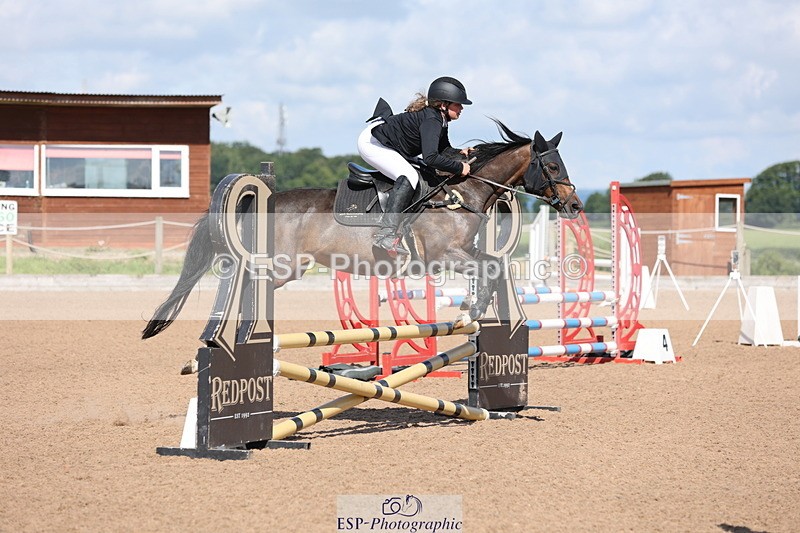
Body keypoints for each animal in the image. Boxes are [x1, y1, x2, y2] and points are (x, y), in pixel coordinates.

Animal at [141, 119, 583, 340]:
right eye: (552, 166)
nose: (575, 205)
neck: (460, 193)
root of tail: (268, 197)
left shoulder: (464, 252)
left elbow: (491, 264)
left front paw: (470, 312)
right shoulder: (441, 255)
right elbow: (485, 268)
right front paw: (468, 311)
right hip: (283, 266)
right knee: (247, 281)